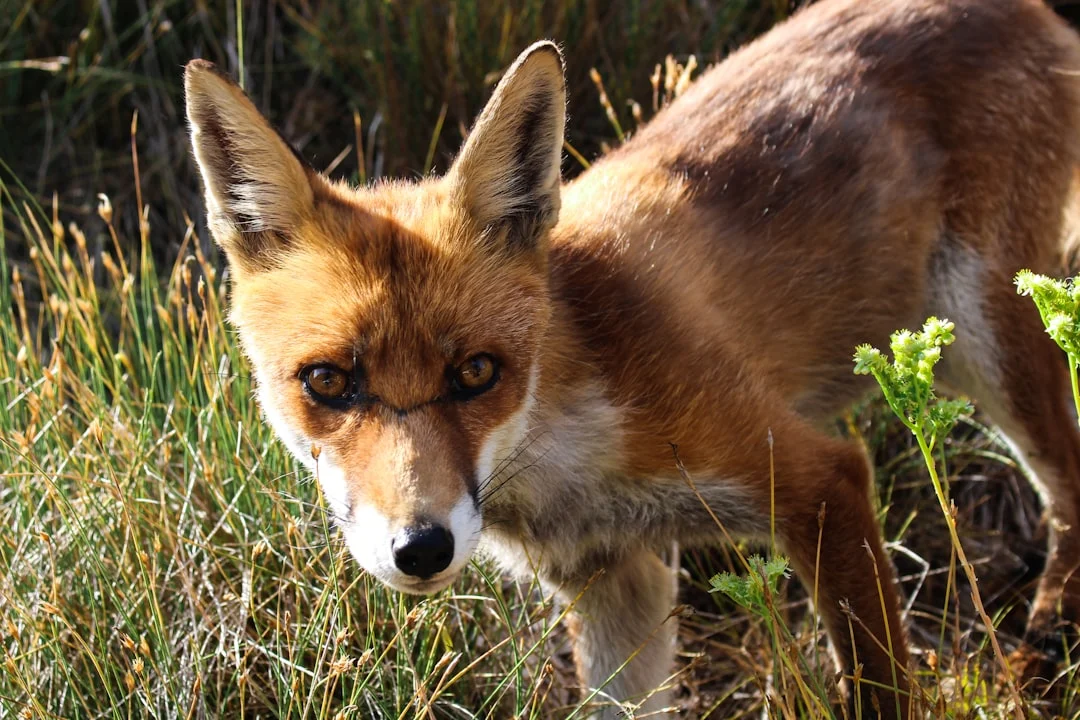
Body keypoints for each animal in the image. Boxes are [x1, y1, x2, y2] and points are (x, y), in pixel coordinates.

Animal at [183, 0, 1080, 717]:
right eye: (328, 382)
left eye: (476, 373)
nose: (422, 548)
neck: (570, 444)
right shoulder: (619, 580)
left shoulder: (818, 481)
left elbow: (878, 684)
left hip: (986, 341)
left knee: (1067, 484)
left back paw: (1044, 649)